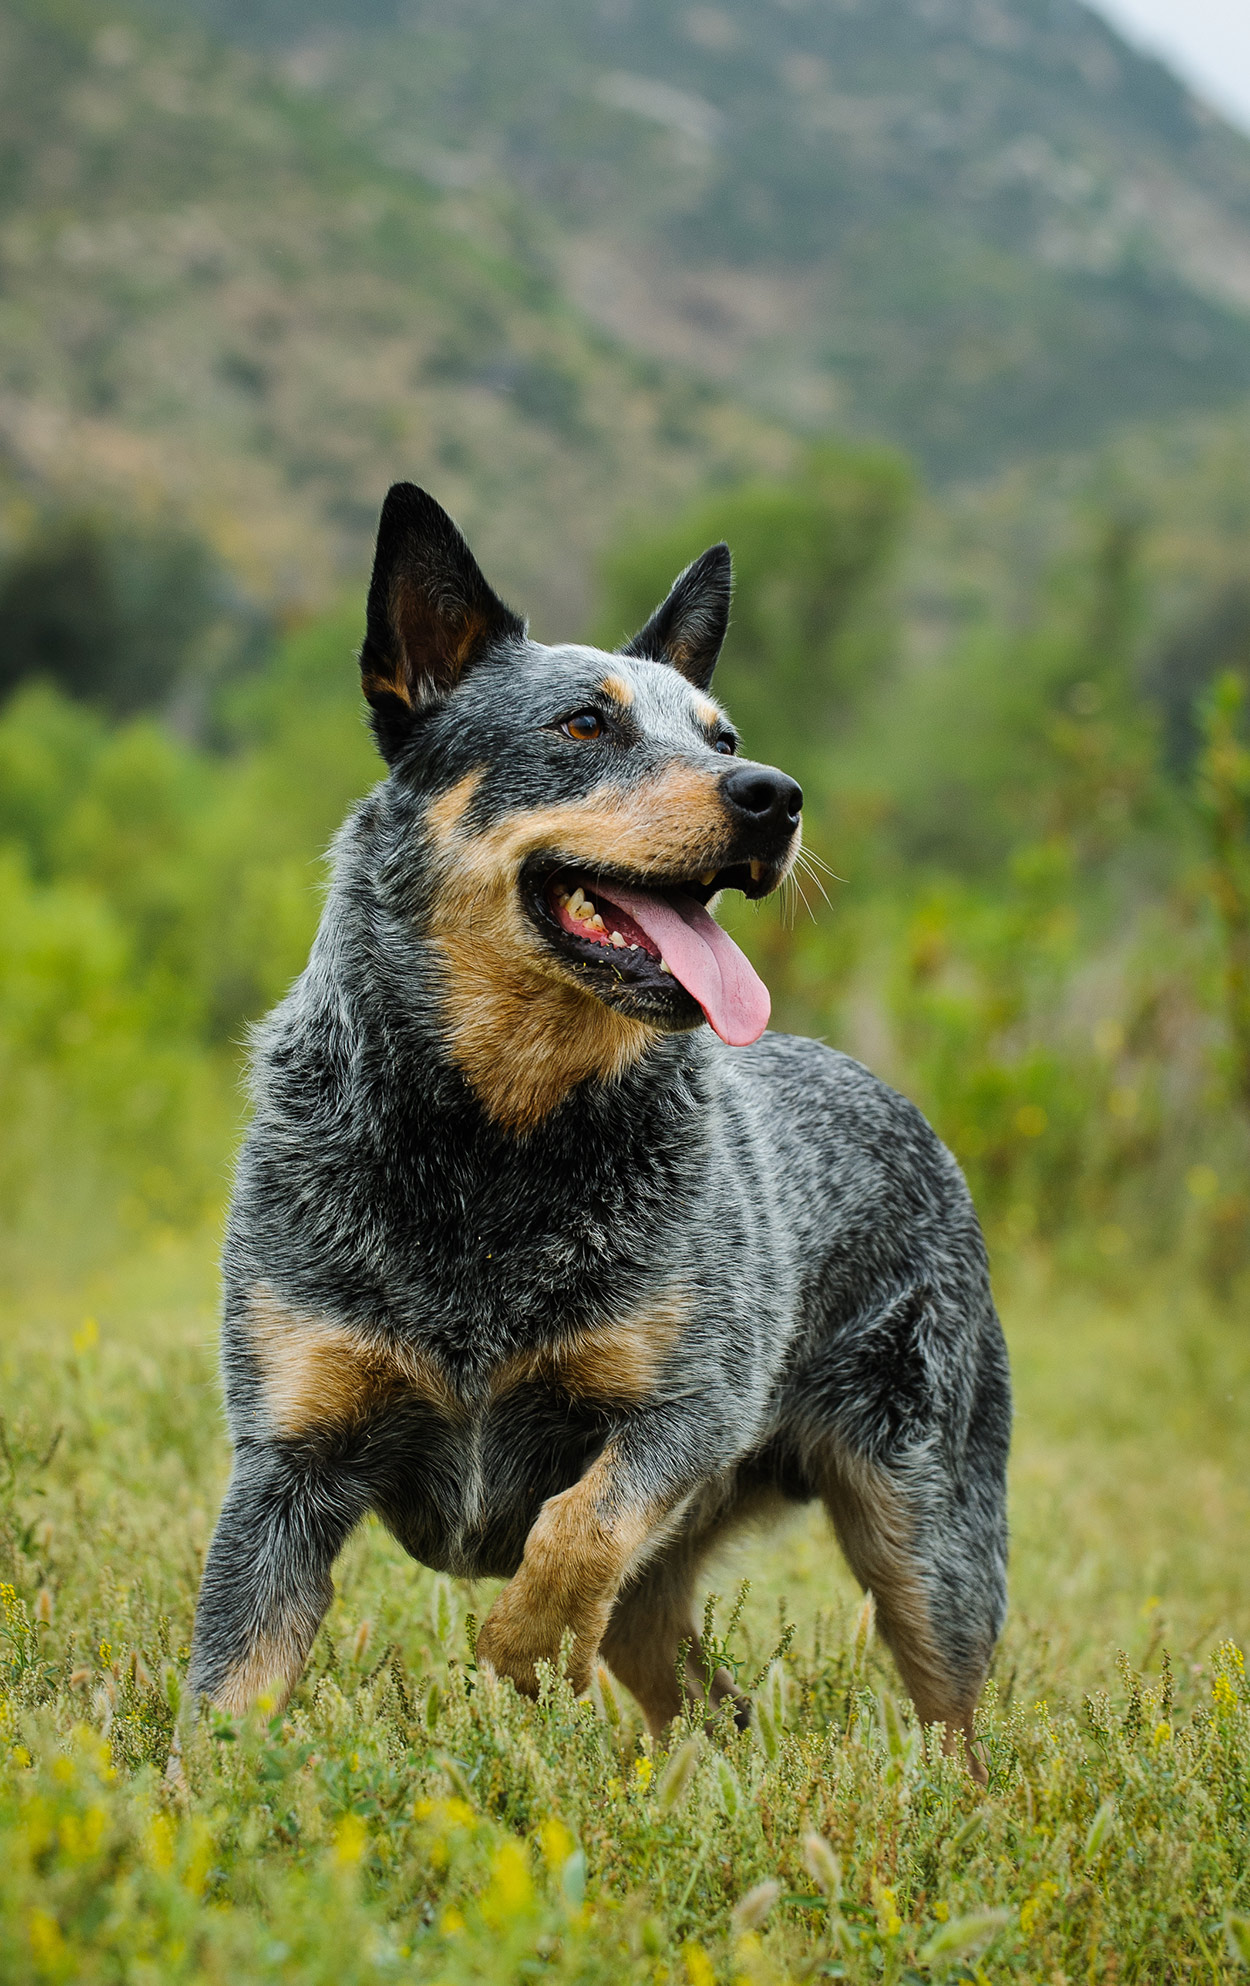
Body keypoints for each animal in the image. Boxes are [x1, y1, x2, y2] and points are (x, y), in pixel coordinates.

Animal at [189, 488, 1009, 1779]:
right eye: (583, 722)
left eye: (721, 737)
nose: (774, 794)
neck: (491, 1145)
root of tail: (895, 1100)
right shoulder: (286, 1462)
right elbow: (225, 1696)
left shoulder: (687, 1406)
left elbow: (575, 1527)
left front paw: (520, 1650)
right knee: (704, 1694)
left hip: (926, 1530)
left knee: (951, 1714)